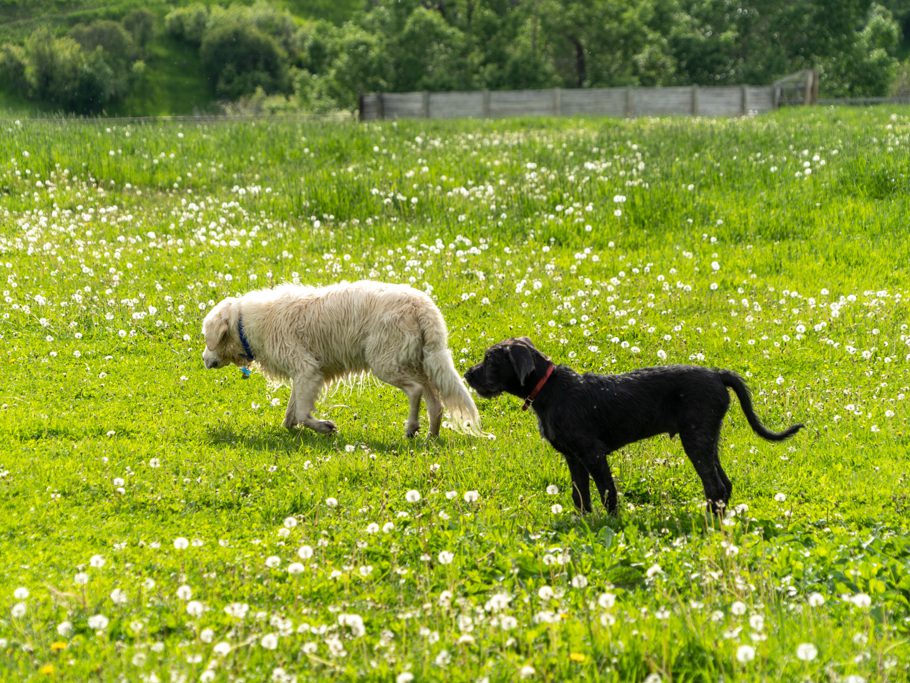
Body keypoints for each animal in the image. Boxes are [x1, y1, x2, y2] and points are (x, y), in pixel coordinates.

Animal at [202, 282, 480, 438]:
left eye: (206, 338)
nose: (203, 359)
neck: (244, 324)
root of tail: (422, 305)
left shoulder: (307, 370)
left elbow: (302, 414)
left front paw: (324, 427)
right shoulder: (303, 376)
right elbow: (292, 413)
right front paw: (292, 428)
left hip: (385, 362)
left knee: (415, 390)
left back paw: (412, 427)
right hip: (420, 362)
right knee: (435, 401)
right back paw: (431, 436)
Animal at [466, 340, 800, 516]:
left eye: (490, 360)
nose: (468, 375)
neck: (549, 389)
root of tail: (717, 374)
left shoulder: (593, 454)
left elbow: (607, 492)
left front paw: (611, 523)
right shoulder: (573, 458)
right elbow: (580, 495)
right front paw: (584, 523)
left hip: (696, 438)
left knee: (715, 486)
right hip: (705, 437)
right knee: (724, 485)